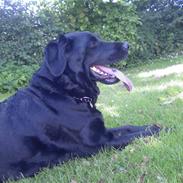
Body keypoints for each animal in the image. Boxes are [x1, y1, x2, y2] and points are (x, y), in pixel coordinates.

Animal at [0, 31, 160, 182]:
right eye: (92, 44)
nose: (127, 45)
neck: (66, 93)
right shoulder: (99, 143)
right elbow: (134, 136)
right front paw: (159, 130)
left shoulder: (101, 131)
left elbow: (128, 127)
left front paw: (154, 125)